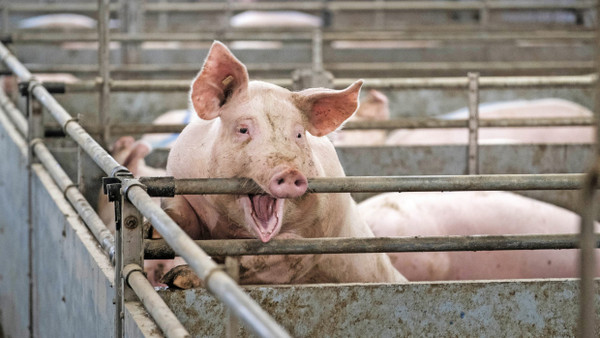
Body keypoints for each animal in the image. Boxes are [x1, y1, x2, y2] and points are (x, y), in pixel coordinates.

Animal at [159, 41, 406, 286]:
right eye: (243, 129)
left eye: (298, 134)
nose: (289, 172)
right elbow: (180, 217)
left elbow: (278, 257)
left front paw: (180, 278)